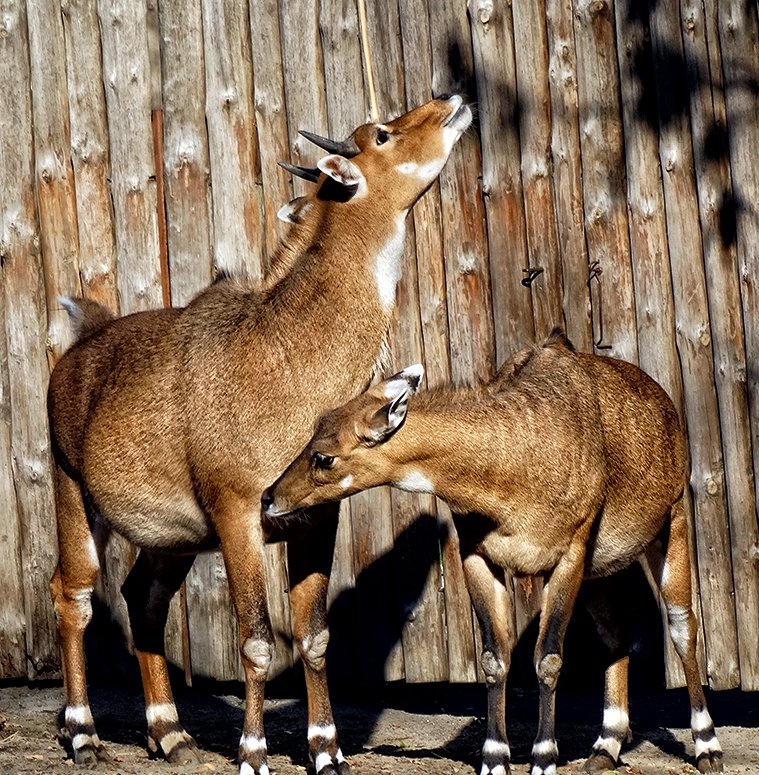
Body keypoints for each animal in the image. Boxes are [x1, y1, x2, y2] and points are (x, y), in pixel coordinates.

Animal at [47, 94, 472, 772]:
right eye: (381, 134)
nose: (452, 101)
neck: (288, 352)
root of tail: (79, 348)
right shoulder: (239, 510)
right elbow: (256, 640)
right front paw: (253, 752)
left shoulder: (316, 516)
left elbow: (315, 635)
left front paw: (326, 749)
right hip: (75, 495)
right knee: (74, 595)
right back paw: (84, 733)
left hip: (174, 539)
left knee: (143, 597)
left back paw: (169, 732)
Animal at [264, 332, 728, 775]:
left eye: (324, 456)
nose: (270, 497)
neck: (508, 461)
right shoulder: (479, 556)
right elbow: (494, 658)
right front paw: (494, 757)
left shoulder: (568, 555)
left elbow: (548, 658)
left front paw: (543, 758)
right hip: (601, 570)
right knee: (615, 633)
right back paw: (605, 747)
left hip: (671, 525)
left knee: (683, 627)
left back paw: (707, 746)